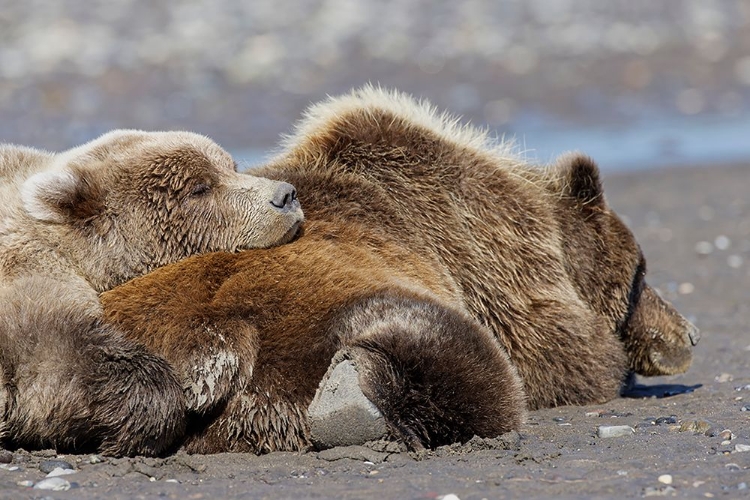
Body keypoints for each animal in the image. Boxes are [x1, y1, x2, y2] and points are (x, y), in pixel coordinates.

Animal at [103, 88, 704, 456]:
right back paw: (357, 391)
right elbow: (571, 358)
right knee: (470, 366)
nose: (690, 333)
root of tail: (217, 342)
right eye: (642, 276)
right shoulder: (496, 259)